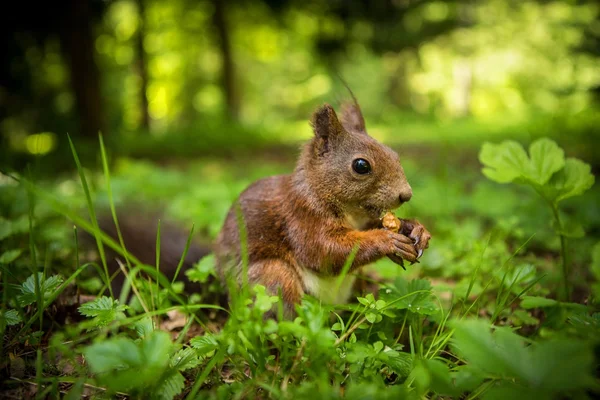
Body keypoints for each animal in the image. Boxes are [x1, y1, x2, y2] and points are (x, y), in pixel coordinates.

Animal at [213, 101, 428, 318]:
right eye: (361, 165)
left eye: (394, 155)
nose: (406, 195)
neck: (351, 213)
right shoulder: (302, 216)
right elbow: (324, 250)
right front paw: (386, 240)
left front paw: (414, 228)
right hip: (272, 279)